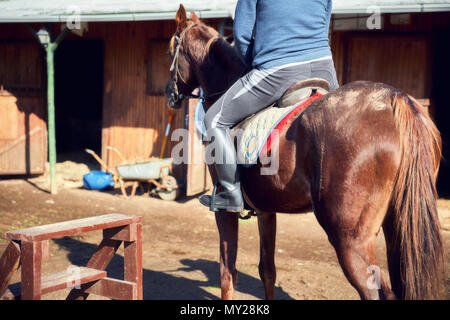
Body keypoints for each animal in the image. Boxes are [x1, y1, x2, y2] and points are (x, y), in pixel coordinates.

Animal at [167, 5, 444, 300]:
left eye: (171, 50)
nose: (169, 94)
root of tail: (395, 99)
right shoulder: (266, 210)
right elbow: (267, 271)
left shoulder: (225, 211)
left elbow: (227, 273)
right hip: (396, 228)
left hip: (350, 238)